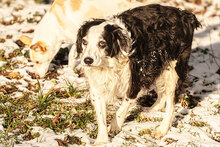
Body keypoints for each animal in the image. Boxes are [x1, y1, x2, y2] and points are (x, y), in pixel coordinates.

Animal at [73, 4, 199, 145]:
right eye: (84, 42)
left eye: (102, 43)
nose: (87, 60)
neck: (110, 62)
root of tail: (185, 15)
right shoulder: (97, 86)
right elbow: (101, 116)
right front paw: (102, 140)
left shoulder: (135, 81)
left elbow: (121, 109)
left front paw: (115, 126)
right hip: (157, 64)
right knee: (162, 94)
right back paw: (151, 110)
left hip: (173, 69)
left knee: (171, 104)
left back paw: (161, 130)